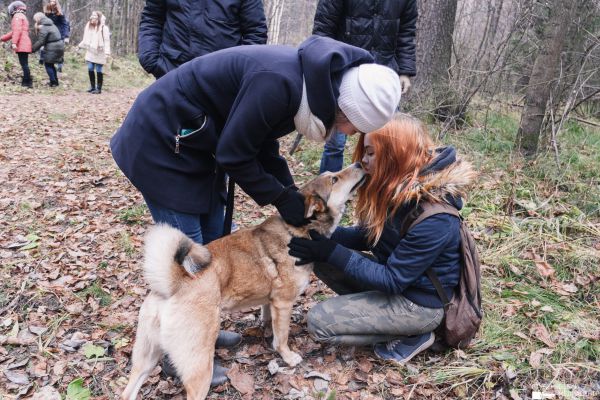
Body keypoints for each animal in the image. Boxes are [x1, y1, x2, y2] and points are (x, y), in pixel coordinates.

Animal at [121, 163, 366, 400]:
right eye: (334, 179)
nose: (360, 163)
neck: (298, 230)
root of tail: (174, 283)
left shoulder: (271, 301)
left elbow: (268, 320)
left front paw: (267, 333)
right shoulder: (283, 303)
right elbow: (282, 337)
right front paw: (287, 356)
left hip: (147, 359)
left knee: (127, 392)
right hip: (199, 365)